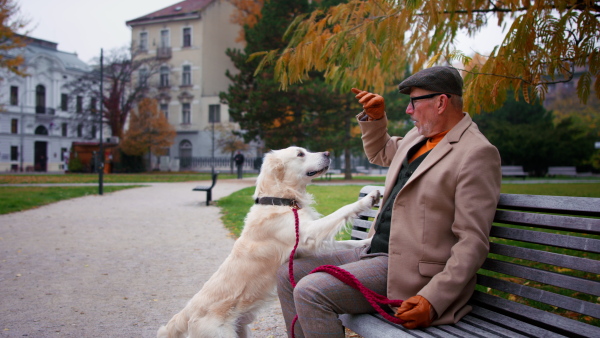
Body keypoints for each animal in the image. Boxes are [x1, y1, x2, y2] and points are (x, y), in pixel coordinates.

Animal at [157, 147, 378, 336]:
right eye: (300, 154)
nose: (328, 153)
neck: (280, 201)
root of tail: (185, 315)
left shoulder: (308, 245)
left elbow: (346, 243)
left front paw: (367, 242)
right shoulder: (308, 234)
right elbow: (342, 211)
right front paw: (367, 199)